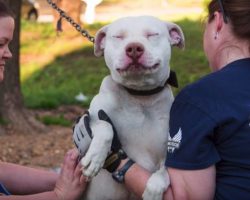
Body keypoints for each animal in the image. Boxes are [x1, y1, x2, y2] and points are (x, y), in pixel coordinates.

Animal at [73, 16, 185, 200]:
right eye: (118, 37)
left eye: (152, 34)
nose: (133, 48)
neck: (139, 96)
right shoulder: (89, 118)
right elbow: (105, 127)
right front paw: (95, 158)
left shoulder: (167, 154)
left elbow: (164, 172)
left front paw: (154, 190)